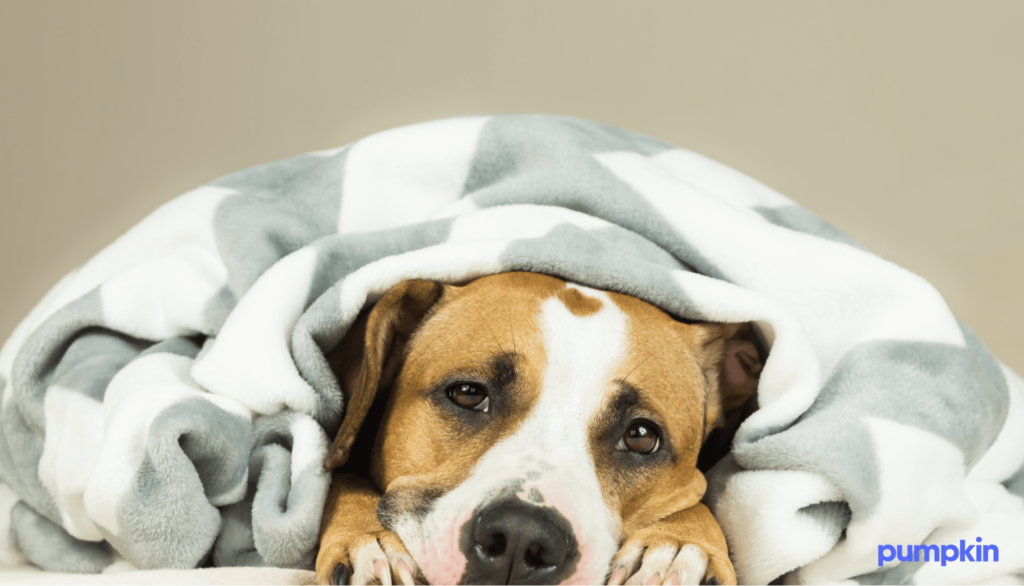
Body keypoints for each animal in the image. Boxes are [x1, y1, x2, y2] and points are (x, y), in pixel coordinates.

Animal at [315, 272, 765, 586]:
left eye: (641, 437)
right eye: (467, 393)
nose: (521, 536)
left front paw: (680, 544)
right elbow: (342, 479)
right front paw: (367, 540)